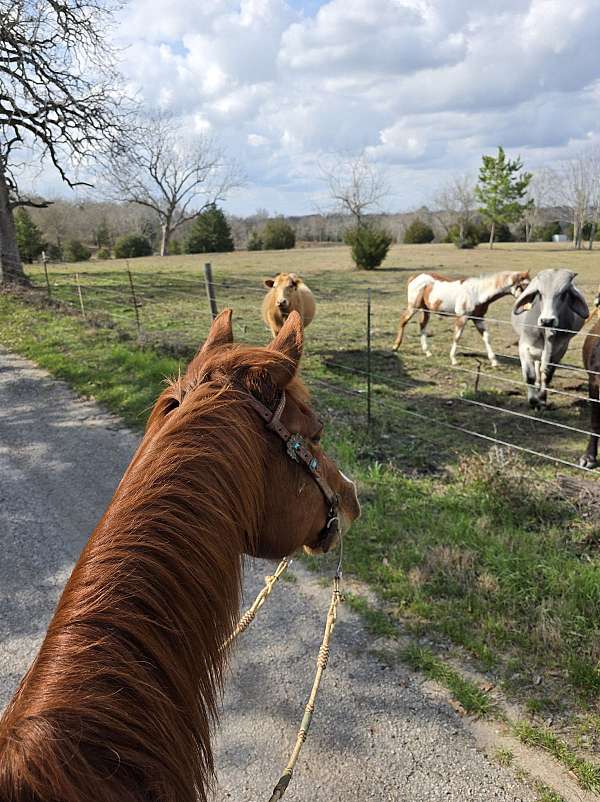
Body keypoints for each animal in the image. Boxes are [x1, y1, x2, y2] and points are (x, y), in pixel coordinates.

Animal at [392, 270, 530, 366]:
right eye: (524, 286)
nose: (529, 306)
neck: (477, 293)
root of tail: (415, 278)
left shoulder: (478, 319)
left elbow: (486, 337)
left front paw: (494, 361)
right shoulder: (462, 318)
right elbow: (457, 337)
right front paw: (453, 360)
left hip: (426, 310)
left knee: (422, 325)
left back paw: (427, 352)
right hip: (413, 307)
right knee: (403, 321)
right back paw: (395, 347)